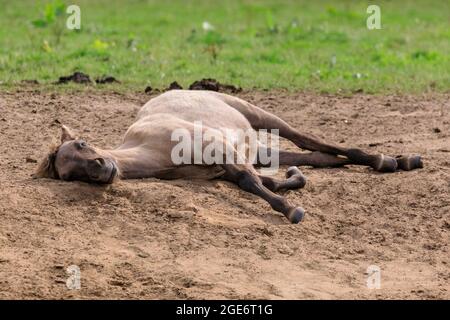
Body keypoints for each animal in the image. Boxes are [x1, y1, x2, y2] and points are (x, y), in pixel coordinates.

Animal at [34, 90, 422, 224]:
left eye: (83, 142)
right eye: (69, 175)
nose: (102, 168)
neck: (154, 150)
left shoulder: (221, 151)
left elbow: (253, 182)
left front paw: (291, 210)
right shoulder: (226, 166)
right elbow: (260, 181)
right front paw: (291, 190)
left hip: (259, 115)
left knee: (314, 140)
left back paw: (392, 160)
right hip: (260, 147)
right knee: (317, 156)